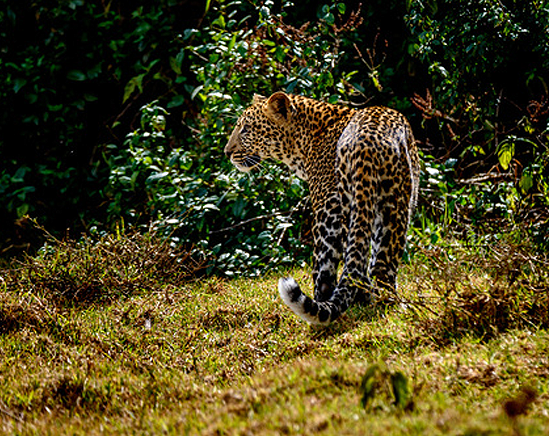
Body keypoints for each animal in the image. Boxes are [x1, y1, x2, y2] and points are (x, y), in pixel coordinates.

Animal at [223, 91, 420, 324]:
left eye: (245, 129)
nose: (227, 152)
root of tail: (366, 144)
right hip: (392, 205)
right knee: (379, 264)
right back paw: (385, 302)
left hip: (333, 211)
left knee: (324, 269)